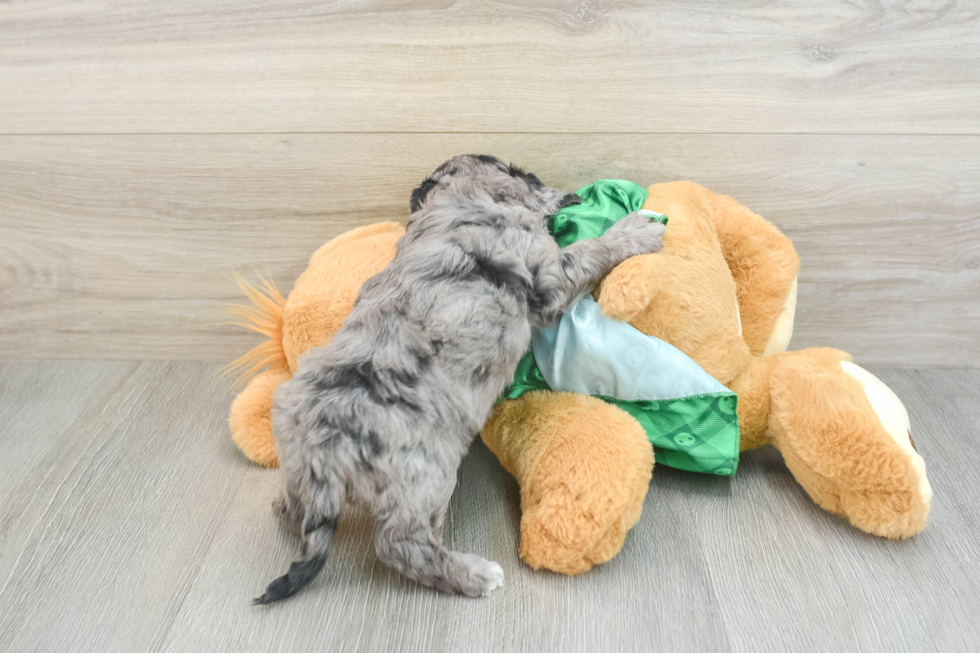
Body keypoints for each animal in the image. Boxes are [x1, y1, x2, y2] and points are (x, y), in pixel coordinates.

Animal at [253, 153, 668, 600]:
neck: (459, 202)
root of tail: (323, 447)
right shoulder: (548, 276)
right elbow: (589, 250)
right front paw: (634, 231)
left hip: (298, 467)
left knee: (294, 511)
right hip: (425, 477)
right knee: (402, 545)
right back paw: (475, 576)